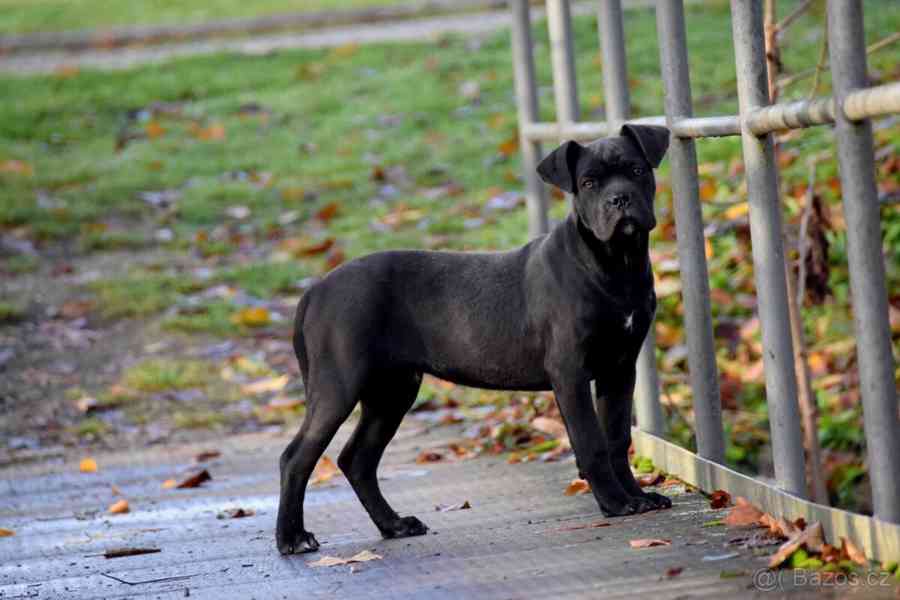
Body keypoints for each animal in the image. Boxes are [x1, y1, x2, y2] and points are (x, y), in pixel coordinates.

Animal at [278, 124, 672, 556]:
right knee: (296, 457)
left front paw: (637, 496)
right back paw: (292, 538)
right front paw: (615, 503)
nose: (620, 200)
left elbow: (617, 438)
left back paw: (394, 524)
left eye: (636, 170)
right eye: (588, 183)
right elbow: (591, 442)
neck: (614, 264)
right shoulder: (570, 372)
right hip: (339, 384)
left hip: (392, 390)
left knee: (357, 459)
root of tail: (316, 289)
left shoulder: (619, 368)